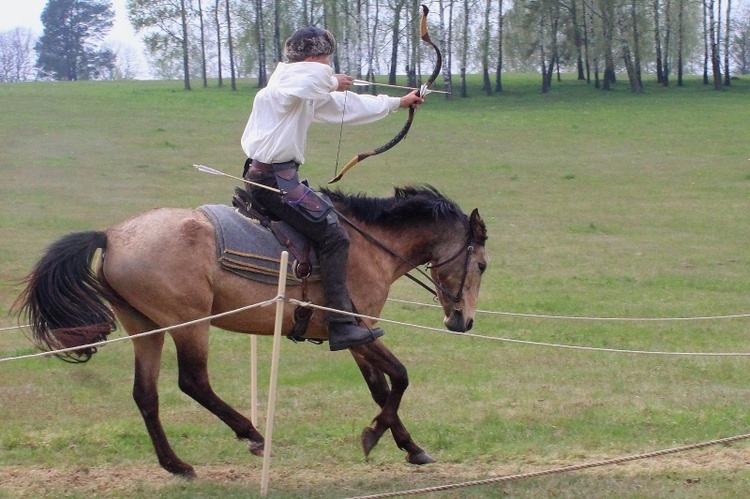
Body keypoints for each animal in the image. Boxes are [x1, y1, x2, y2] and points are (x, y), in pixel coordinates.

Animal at [16, 186, 494, 478]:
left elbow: (382, 390)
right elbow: (400, 379)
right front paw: (376, 435)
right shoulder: (359, 331)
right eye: (482, 265)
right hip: (189, 325)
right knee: (193, 382)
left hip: (146, 329)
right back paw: (253, 435)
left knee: (145, 395)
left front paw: (409, 446)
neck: (370, 244)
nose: (462, 321)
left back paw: (175, 464)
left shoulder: (359, 340)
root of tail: (112, 236)